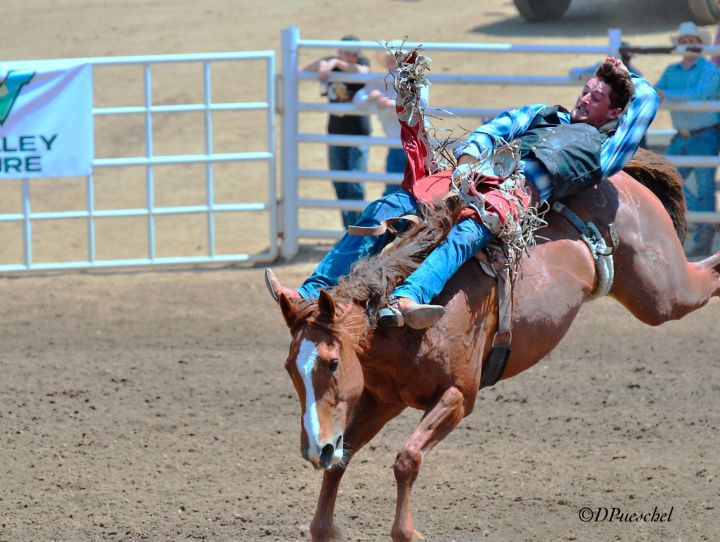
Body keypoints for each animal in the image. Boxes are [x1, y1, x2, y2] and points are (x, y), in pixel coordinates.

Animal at [270, 150, 720, 542]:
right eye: (290, 369)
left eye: (331, 363)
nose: (315, 449)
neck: (396, 323)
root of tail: (623, 177)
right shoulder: (383, 400)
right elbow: (343, 460)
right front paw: (325, 526)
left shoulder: (459, 396)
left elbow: (406, 459)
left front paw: (407, 532)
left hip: (663, 293)